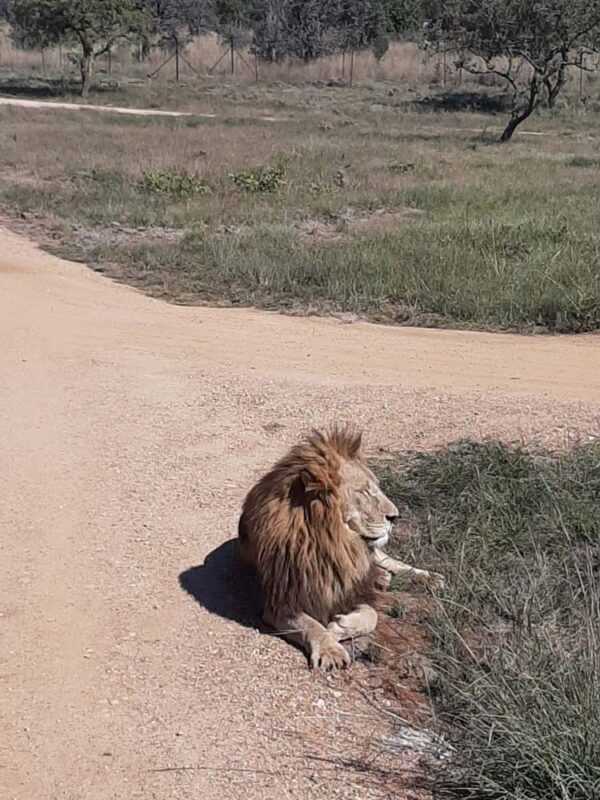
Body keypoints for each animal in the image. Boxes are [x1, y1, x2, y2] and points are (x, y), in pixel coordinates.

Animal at [238, 424, 440, 668]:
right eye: (364, 491)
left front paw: (338, 627)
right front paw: (330, 649)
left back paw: (428, 577)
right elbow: (311, 624)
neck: (330, 544)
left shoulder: (348, 592)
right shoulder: (280, 603)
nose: (395, 517)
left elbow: (371, 615)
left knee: (390, 561)